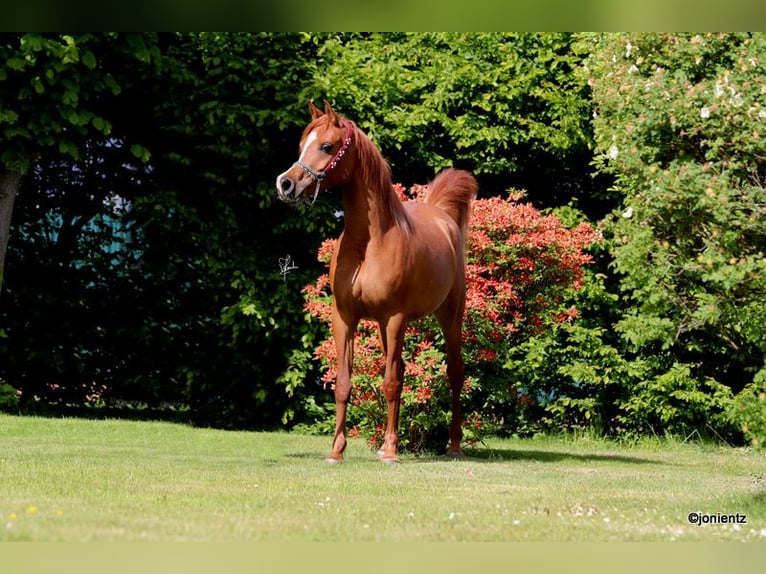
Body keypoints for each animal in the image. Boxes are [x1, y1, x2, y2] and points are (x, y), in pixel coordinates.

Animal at [276, 101, 477, 463]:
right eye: (301, 145)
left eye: (326, 146)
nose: (285, 184)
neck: (369, 244)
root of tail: (442, 217)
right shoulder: (345, 318)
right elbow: (344, 383)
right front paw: (336, 451)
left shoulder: (395, 318)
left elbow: (390, 383)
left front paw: (391, 451)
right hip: (386, 328)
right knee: (403, 369)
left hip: (449, 317)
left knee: (454, 373)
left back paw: (453, 445)